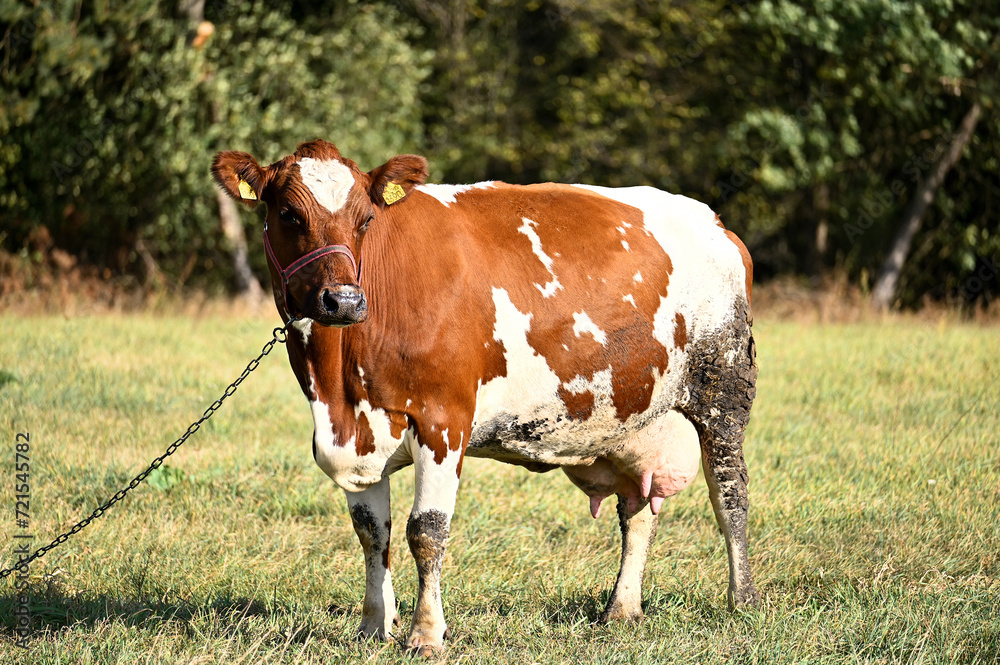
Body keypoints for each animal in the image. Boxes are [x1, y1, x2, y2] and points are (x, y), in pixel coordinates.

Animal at [211, 139, 759, 656]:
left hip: (724, 387)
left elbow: (426, 531)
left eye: (365, 219)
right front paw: (373, 627)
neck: (337, 388)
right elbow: (372, 532)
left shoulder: (444, 420)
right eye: (288, 213)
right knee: (638, 511)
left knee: (729, 493)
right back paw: (622, 609)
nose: (343, 300)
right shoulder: (357, 436)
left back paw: (742, 601)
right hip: (633, 418)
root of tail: (716, 223)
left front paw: (426, 633)